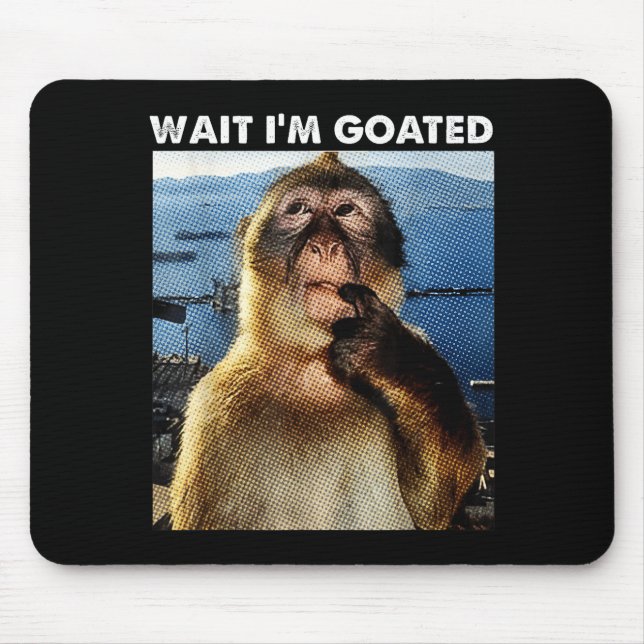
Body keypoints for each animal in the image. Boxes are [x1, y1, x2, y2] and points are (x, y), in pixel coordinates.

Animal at [169, 151, 486, 530]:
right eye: (299, 209)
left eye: (346, 210)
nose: (326, 245)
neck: (312, 363)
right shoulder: (216, 409)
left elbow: (431, 507)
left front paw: (389, 354)